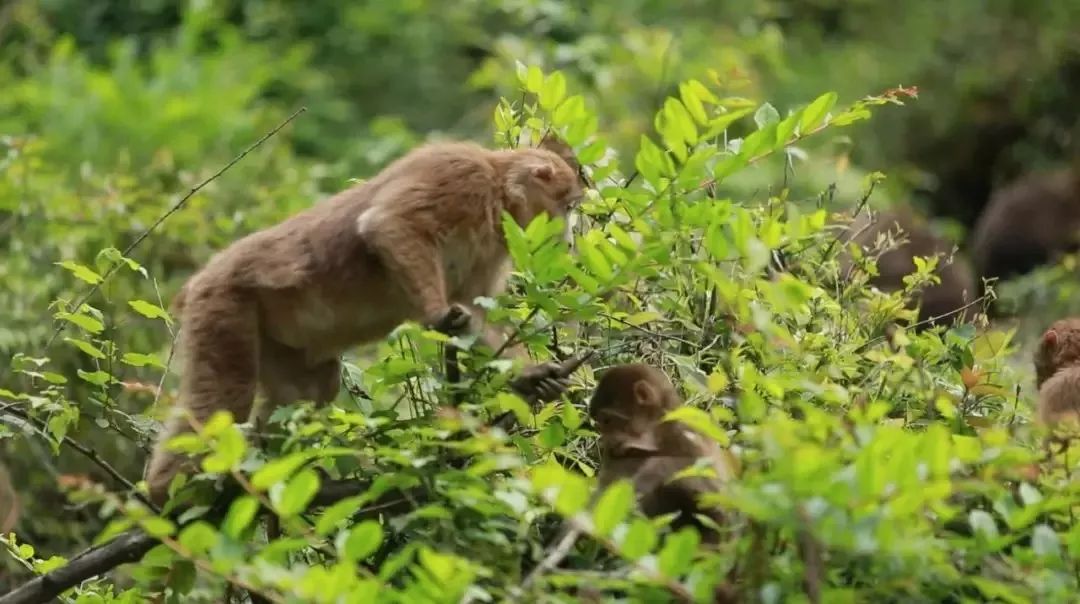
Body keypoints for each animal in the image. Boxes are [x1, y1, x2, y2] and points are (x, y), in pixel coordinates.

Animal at [591, 363, 734, 538]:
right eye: (600, 424)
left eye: (607, 421)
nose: (605, 440)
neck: (658, 434)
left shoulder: (689, 431)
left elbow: (717, 497)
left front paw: (652, 470)